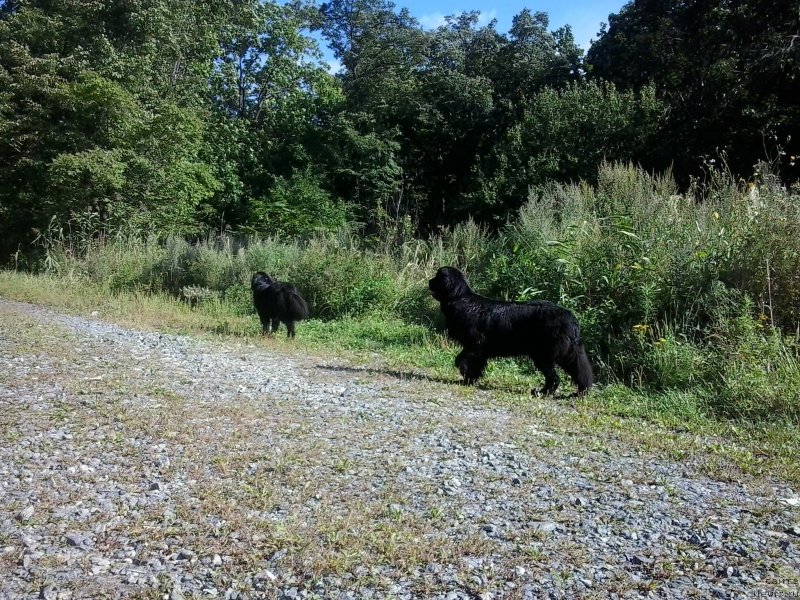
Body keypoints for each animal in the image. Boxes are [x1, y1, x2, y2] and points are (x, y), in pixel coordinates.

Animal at [428, 266, 592, 396]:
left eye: (437, 277)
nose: (429, 281)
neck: (459, 298)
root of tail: (571, 317)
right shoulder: (479, 350)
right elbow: (476, 365)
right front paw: (470, 380)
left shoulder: (475, 345)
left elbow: (462, 360)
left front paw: (465, 375)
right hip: (568, 353)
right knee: (580, 372)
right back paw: (579, 392)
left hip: (542, 354)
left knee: (554, 377)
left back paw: (542, 392)